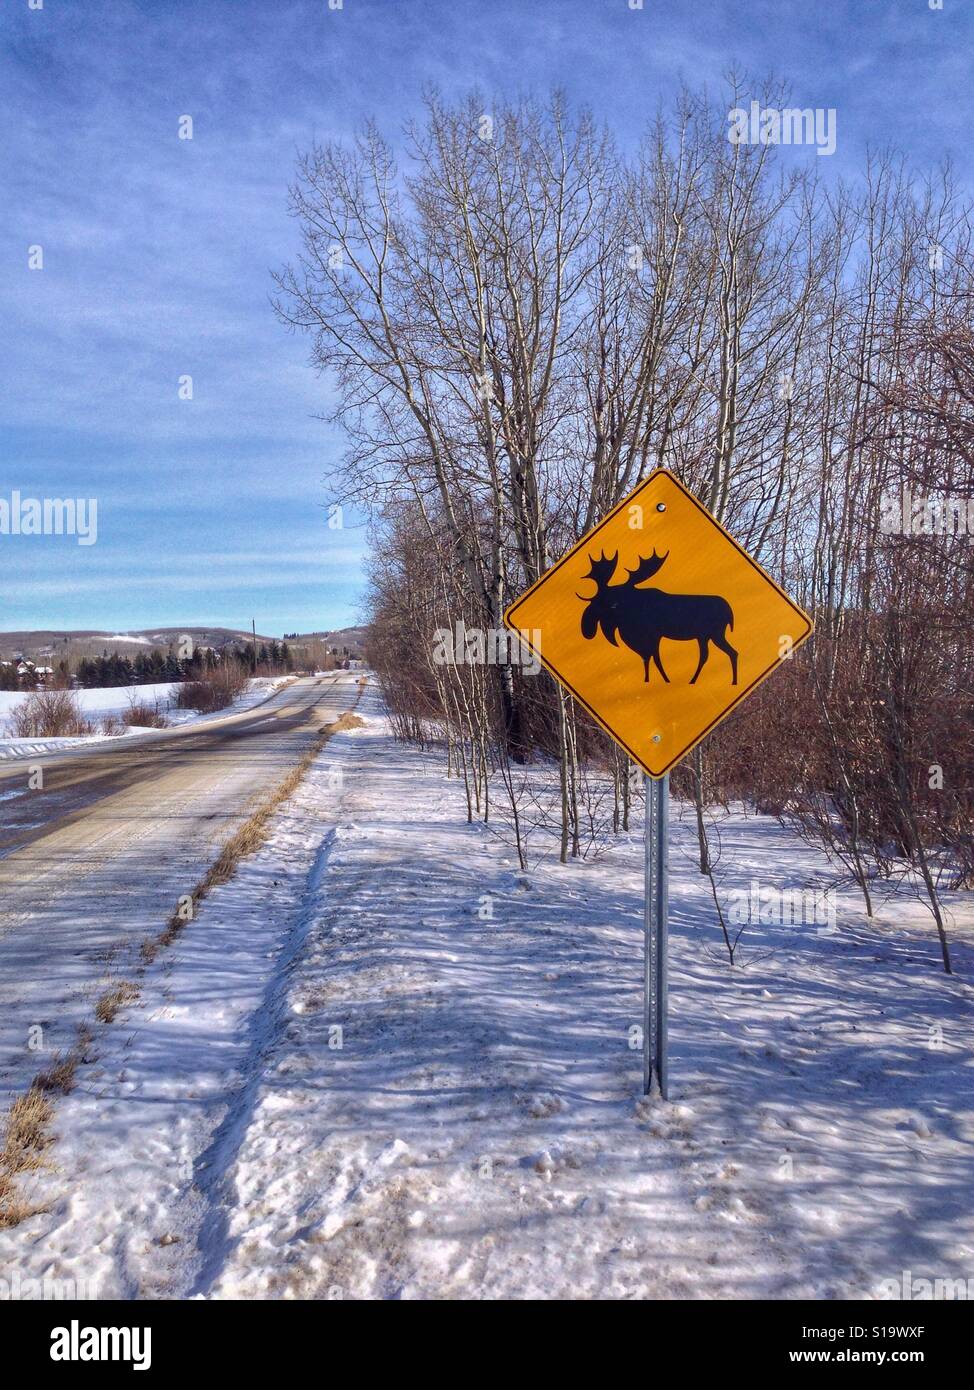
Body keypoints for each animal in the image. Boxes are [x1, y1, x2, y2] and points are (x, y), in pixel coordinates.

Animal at [578, 550, 738, 685]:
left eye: (610, 603)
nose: (586, 628)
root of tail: (729, 611)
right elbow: (647, 657)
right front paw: (648, 679)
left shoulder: (653, 635)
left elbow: (654, 657)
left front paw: (665, 679)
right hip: (705, 636)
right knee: (715, 654)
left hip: (715, 633)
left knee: (727, 653)